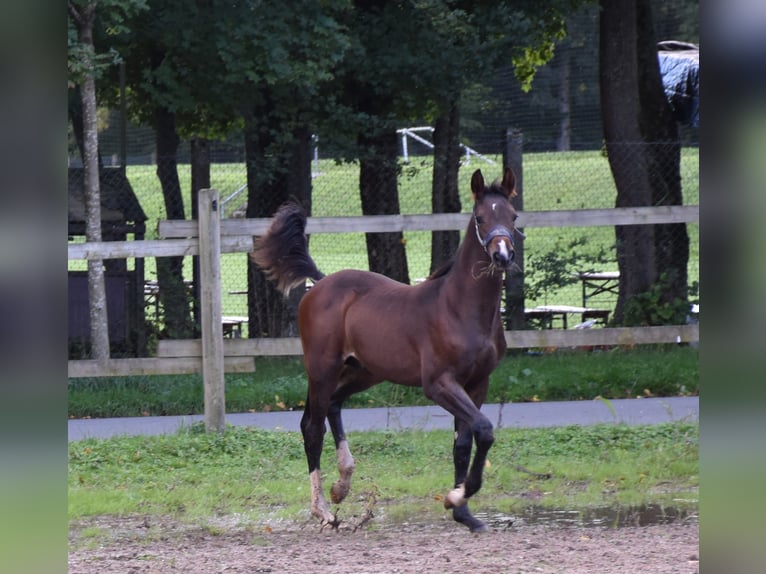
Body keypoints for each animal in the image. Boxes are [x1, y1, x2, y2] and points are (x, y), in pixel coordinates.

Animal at [251, 168, 520, 532]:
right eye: (480, 217)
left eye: (513, 216)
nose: (502, 256)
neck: (460, 308)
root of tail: (319, 283)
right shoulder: (439, 383)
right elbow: (485, 430)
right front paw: (456, 497)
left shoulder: (478, 383)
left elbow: (465, 441)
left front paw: (462, 511)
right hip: (322, 370)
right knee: (312, 426)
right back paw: (323, 510)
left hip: (364, 371)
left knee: (334, 405)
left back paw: (341, 486)